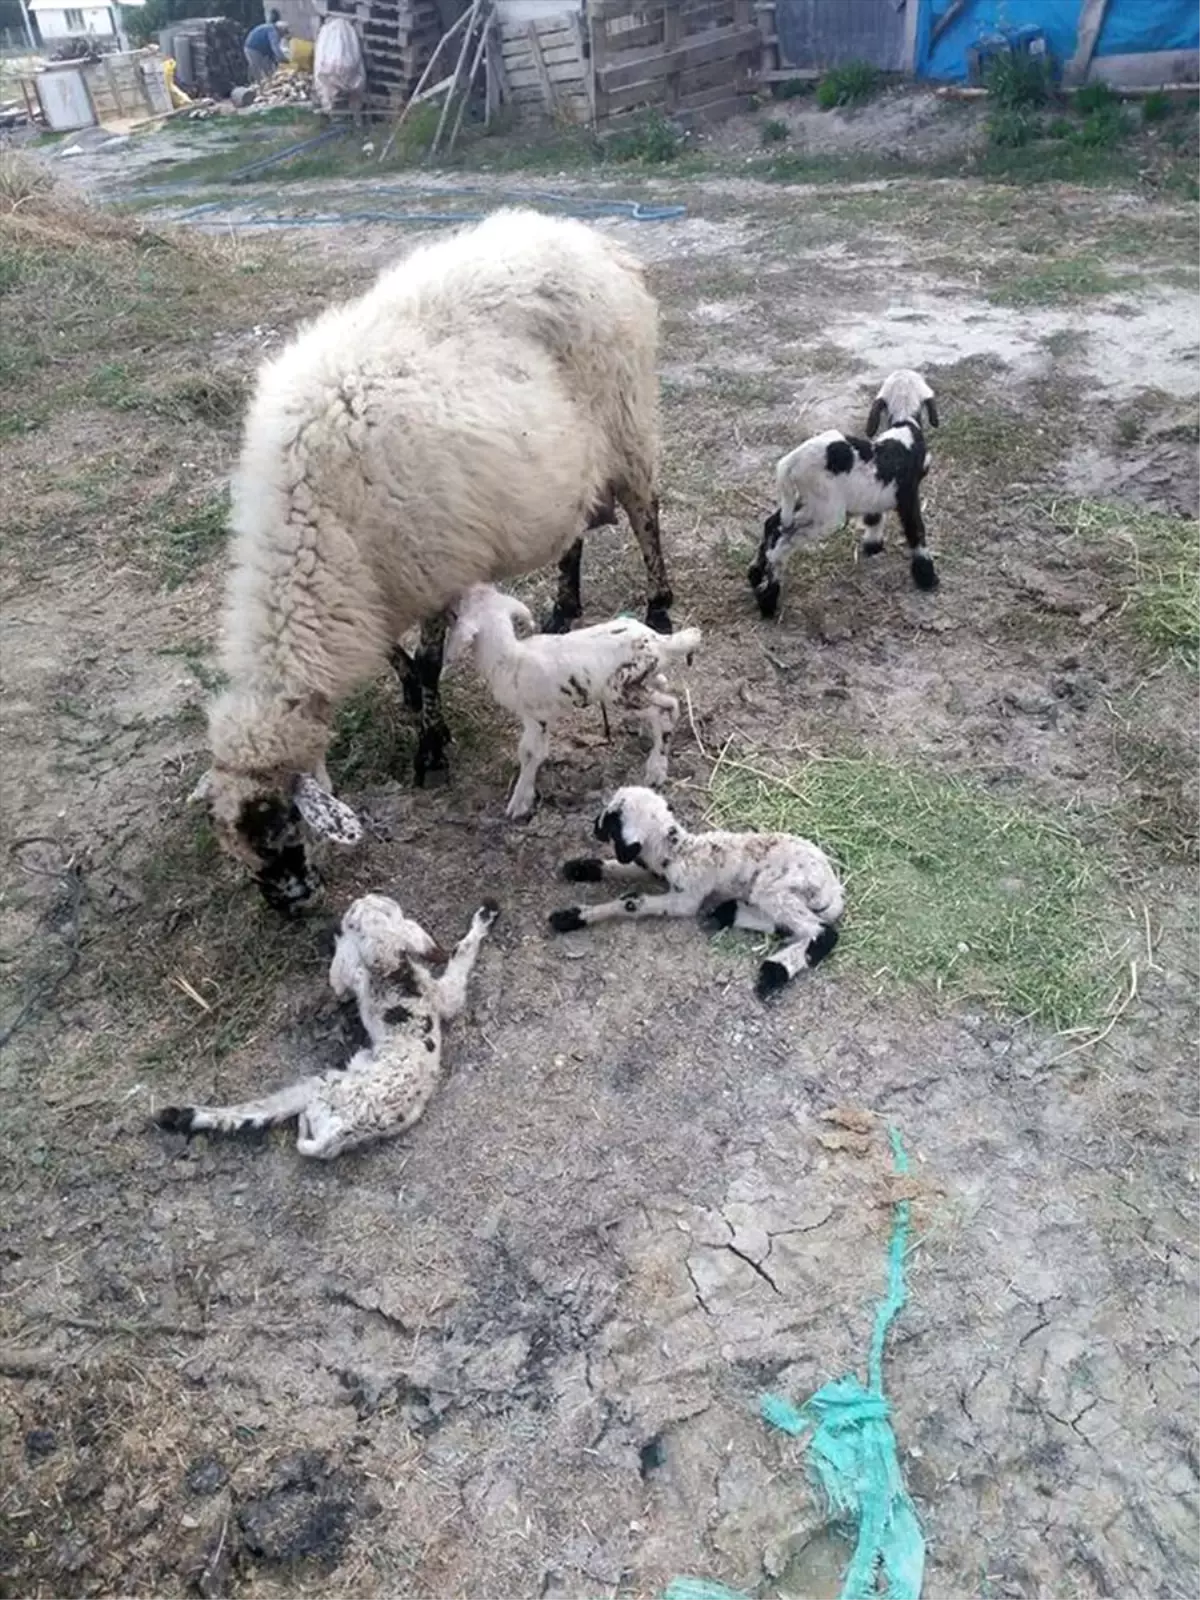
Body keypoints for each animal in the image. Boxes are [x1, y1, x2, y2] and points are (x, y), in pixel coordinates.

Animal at [155, 889, 499, 1164]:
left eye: (362, 912)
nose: (362, 898)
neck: (389, 967)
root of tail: (340, 1134)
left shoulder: (428, 992)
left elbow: (458, 957)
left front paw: (482, 920)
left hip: (328, 1085)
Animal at [192, 212, 672, 915]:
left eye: (284, 825)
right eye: (236, 844)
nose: (291, 907)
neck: (311, 535)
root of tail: (590, 239)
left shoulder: (431, 570)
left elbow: (425, 660)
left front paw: (431, 749)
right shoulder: (375, 592)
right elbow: (400, 662)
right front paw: (414, 709)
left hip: (626, 415)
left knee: (645, 511)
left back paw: (661, 604)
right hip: (568, 455)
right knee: (576, 523)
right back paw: (564, 605)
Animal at [444, 582, 704, 819]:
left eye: (460, 610)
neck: (509, 657)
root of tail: (659, 641)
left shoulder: (535, 715)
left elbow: (528, 752)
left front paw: (519, 802)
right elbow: (538, 751)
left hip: (618, 691)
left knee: (666, 708)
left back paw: (656, 768)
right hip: (638, 680)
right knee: (663, 689)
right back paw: (647, 732)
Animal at [752, 366, 940, 614]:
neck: (904, 425)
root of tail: (792, 461)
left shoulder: (875, 491)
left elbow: (874, 516)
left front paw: (873, 545)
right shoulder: (908, 495)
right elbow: (916, 531)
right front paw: (927, 576)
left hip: (806, 502)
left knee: (773, 524)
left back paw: (755, 575)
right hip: (827, 512)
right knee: (782, 546)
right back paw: (768, 601)